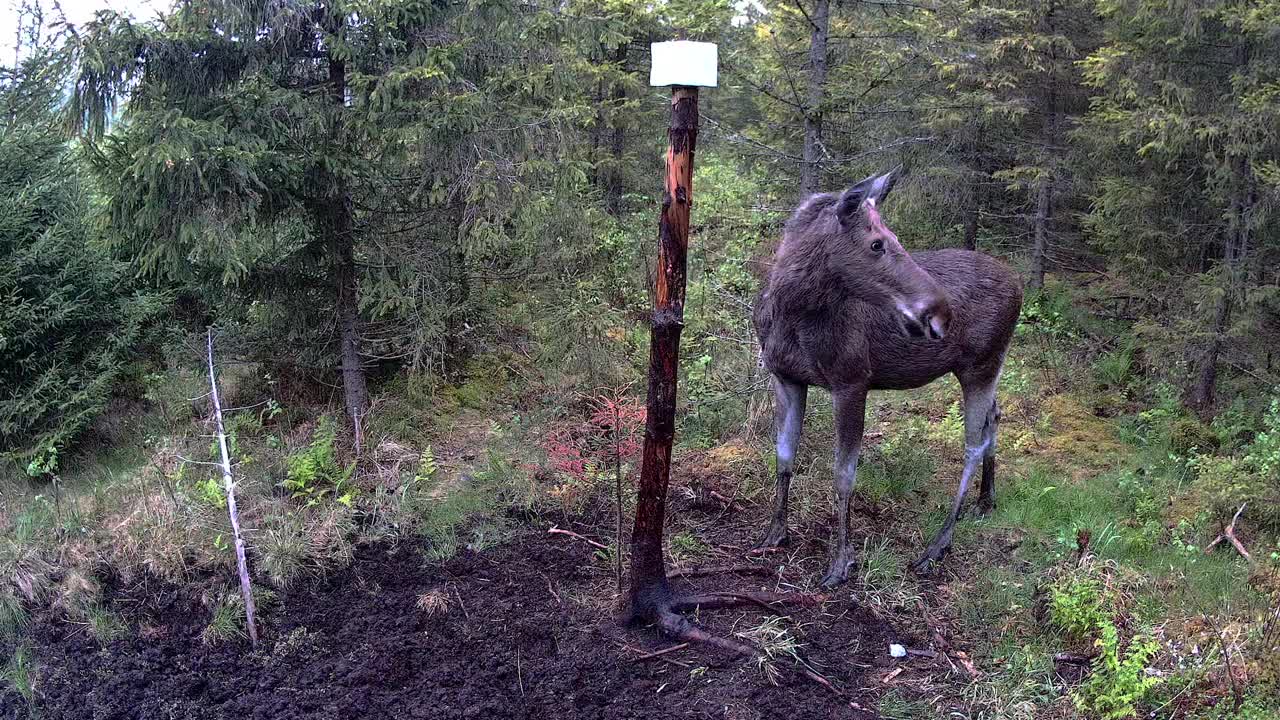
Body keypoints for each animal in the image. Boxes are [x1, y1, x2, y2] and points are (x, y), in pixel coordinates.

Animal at [752, 167, 1024, 584]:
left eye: (894, 238)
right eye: (877, 243)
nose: (940, 311)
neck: (790, 315)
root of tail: (1021, 285)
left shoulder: (852, 379)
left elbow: (843, 474)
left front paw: (841, 562)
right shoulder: (785, 376)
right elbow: (783, 454)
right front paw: (774, 532)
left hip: (981, 363)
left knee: (973, 443)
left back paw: (937, 545)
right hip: (985, 366)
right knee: (995, 415)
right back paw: (985, 500)